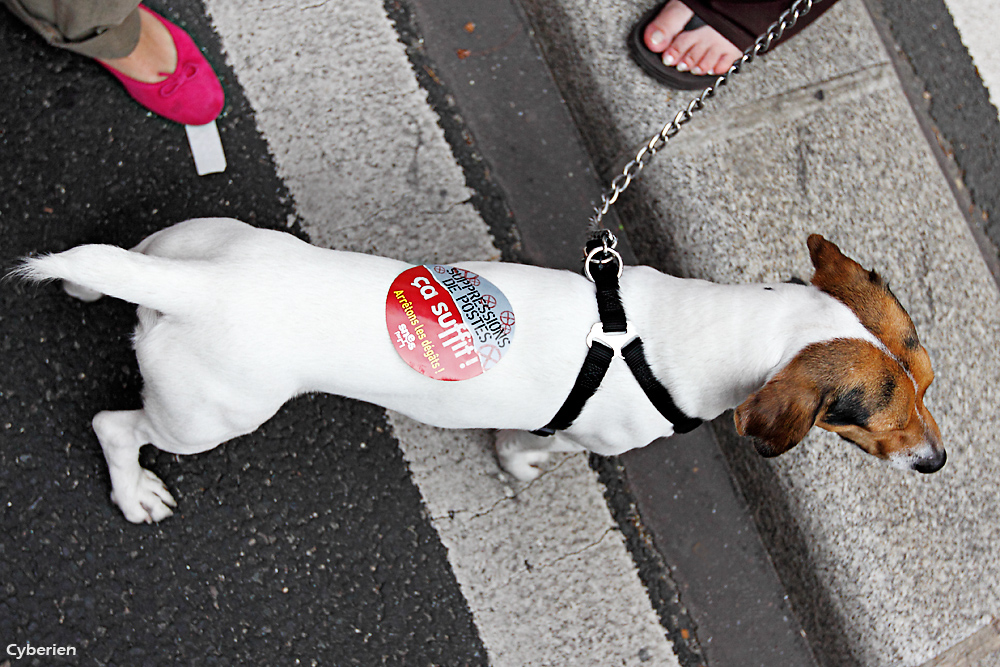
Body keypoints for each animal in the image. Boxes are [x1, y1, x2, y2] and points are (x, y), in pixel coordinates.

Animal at [17, 219, 944, 520]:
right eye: (871, 414)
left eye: (930, 381)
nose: (939, 462)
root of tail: (197, 286)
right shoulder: (578, 437)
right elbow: (531, 449)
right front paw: (518, 467)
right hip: (207, 417)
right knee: (114, 425)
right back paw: (135, 489)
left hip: (180, 245)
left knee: (110, 265)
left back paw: (83, 279)